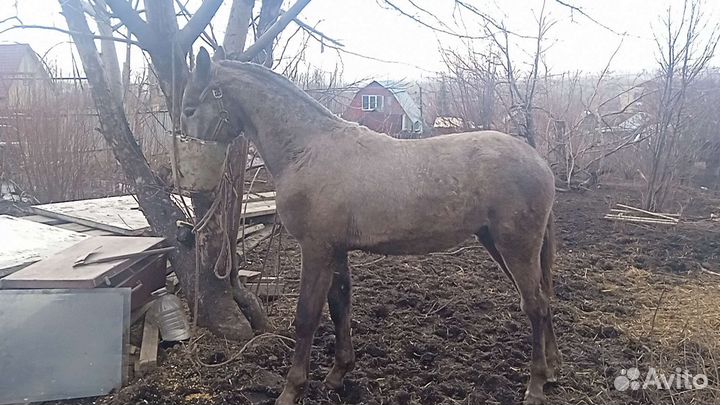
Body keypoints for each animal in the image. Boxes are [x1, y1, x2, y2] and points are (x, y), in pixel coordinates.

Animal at [181, 48, 560, 405]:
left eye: (189, 109)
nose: (194, 181)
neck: (308, 149)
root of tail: (538, 161)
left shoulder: (316, 249)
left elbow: (307, 317)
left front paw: (291, 390)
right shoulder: (336, 250)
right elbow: (339, 307)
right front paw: (337, 375)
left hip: (516, 247)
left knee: (535, 305)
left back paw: (535, 386)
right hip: (497, 243)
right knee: (541, 300)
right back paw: (552, 370)